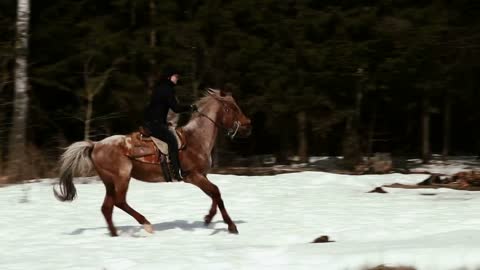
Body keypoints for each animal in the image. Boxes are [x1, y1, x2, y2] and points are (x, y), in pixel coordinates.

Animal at [54, 88, 253, 236]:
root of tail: (95, 145)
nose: (248, 125)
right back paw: (146, 224)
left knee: (107, 208)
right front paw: (231, 226)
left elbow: (213, 195)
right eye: (234, 108)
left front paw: (208, 218)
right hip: (122, 177)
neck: (196, 139)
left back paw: (115, 234)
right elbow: (216, 192)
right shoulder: (193, 176)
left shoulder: (202, 175)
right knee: (119, 202)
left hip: (109, 181)